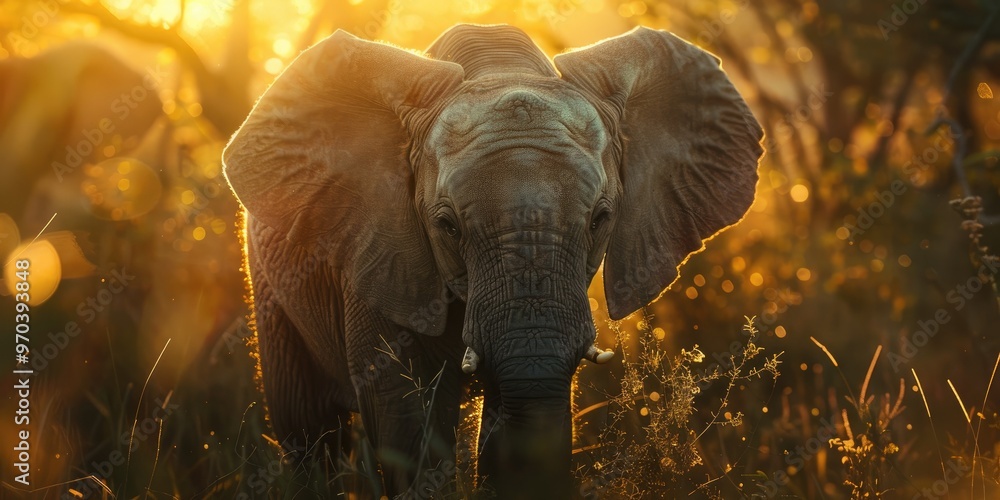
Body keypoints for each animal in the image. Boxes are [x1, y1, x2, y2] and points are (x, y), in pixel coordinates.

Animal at [223, 24, 760, 500]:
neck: (501, 66)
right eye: (446, 225)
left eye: (600, 219)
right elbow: (405, 419)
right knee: (311, 436)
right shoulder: (380, 255)